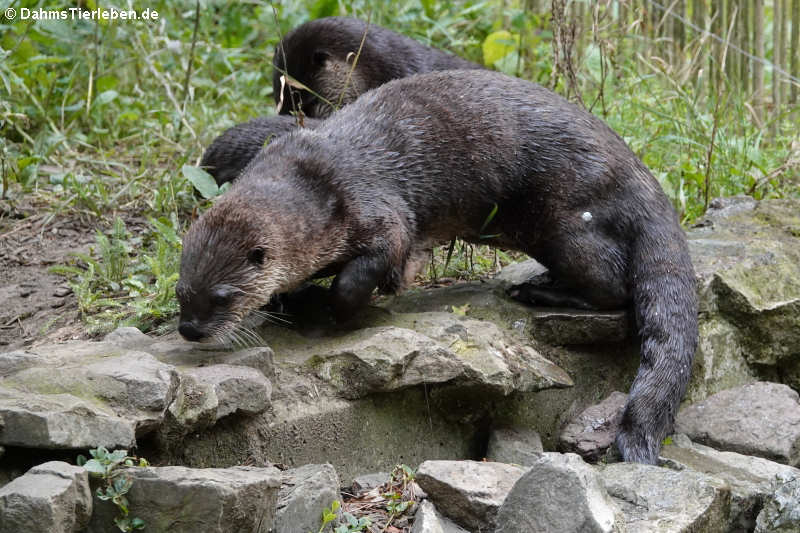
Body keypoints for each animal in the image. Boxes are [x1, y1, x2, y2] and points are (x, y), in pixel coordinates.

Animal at [178, 68, 696, 464]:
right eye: (181, 291)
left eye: (222, 297)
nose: (189, 329)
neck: (315, 192)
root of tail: (639, 174)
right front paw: (293, 299)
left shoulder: (379, 212)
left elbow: (371, 270)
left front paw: (332, 309)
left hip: (564, 220)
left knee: (614, 287)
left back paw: (538, 290)